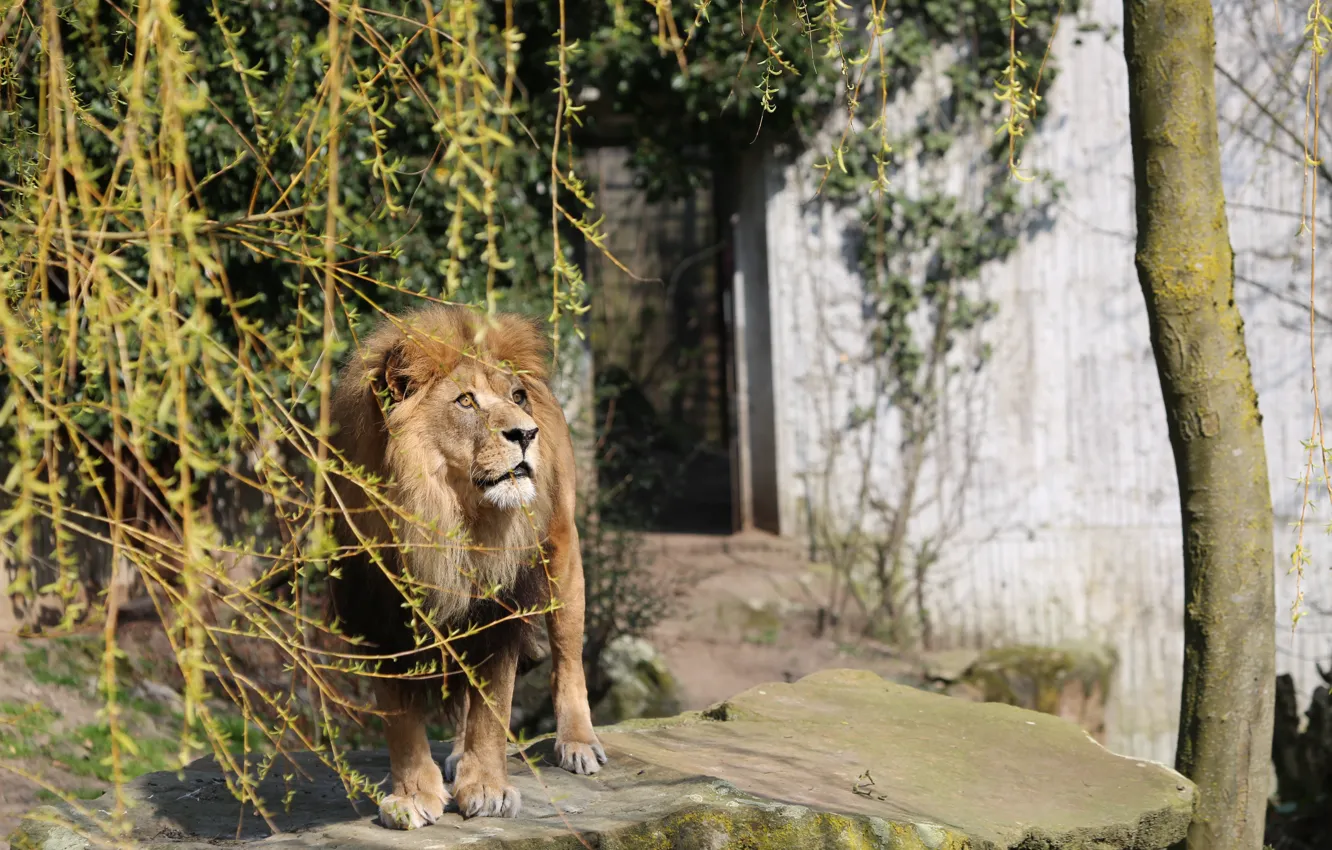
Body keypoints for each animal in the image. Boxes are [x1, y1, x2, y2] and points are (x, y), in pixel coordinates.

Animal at [327, 306, 610, 831]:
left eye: (515, 397)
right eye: (465, 401)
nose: (526, 432)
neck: (446, 520)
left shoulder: (500, 607)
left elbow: (493, 704)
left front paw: (488, 789)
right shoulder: (378, 614)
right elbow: (400, 720)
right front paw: (413, 796)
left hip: (563, 554)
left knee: (568, 658)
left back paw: (578, 744)